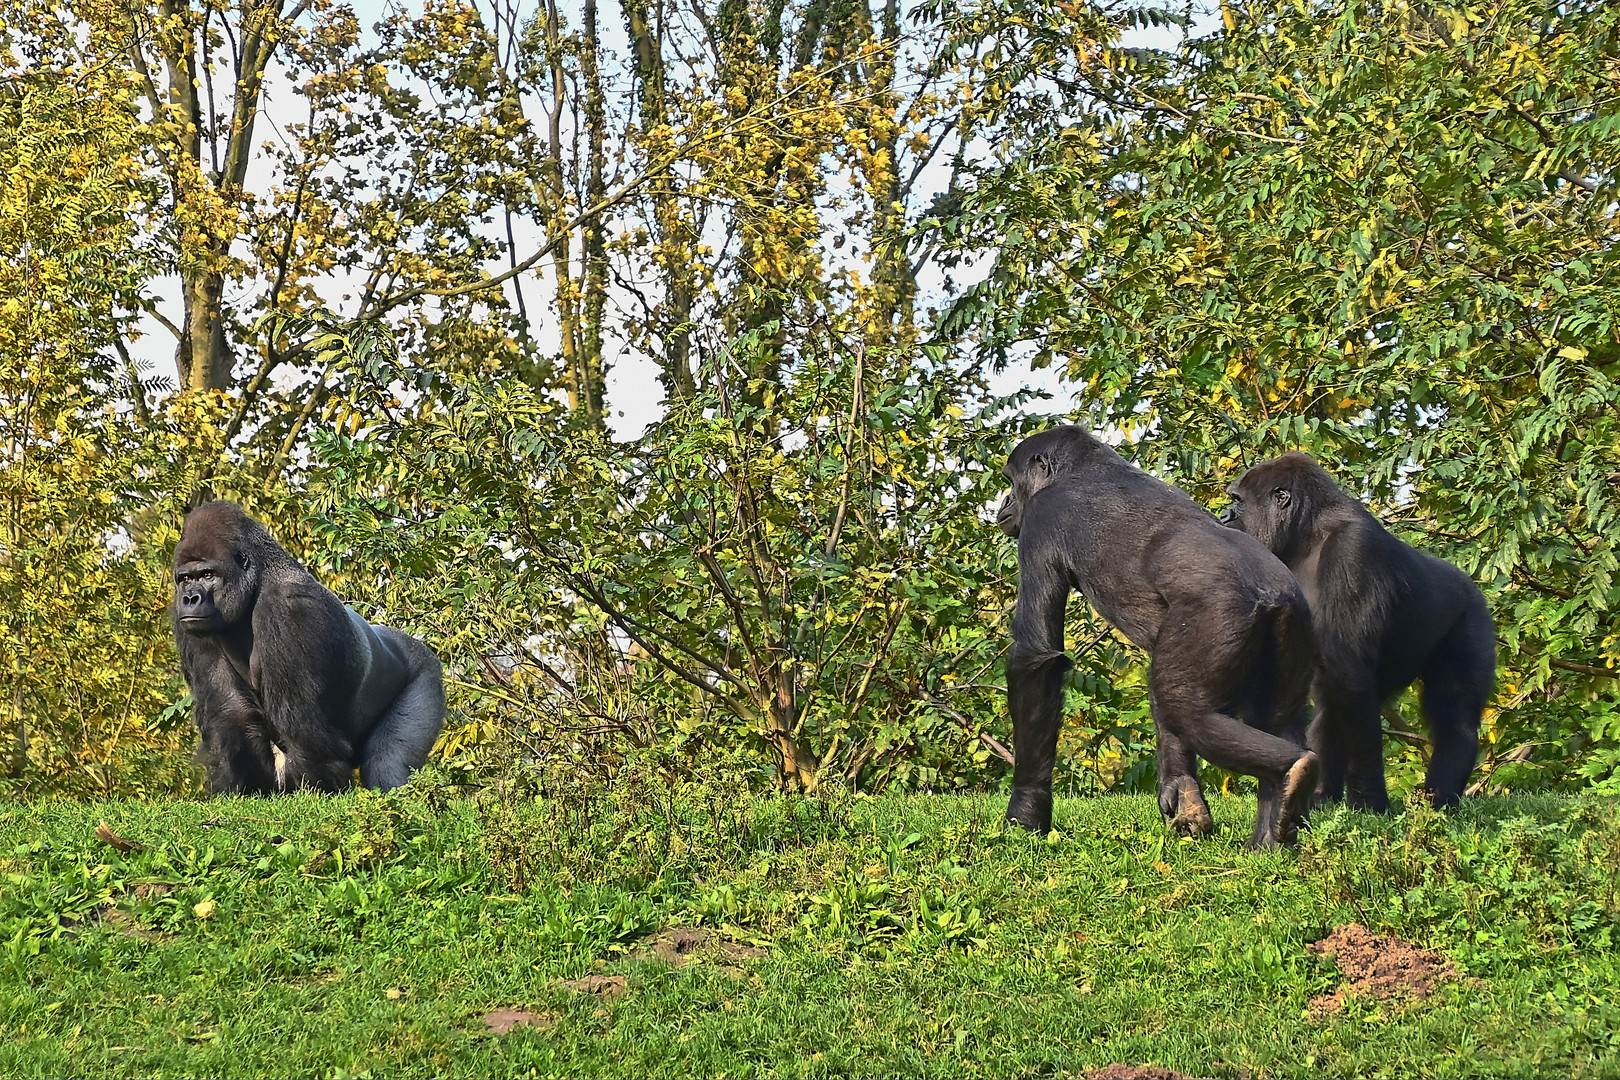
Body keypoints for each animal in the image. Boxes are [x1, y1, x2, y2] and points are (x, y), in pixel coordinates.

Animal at [171, 501, 447, 799]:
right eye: (185, 578)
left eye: (207, 574)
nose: (189, 598)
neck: (257, 583)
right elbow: (233, 715)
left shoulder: (290, 609)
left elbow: (303, 730)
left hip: (425, 670)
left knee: (387, 764)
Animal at [991, 427, 1321, 848]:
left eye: (1010, 481)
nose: (1005, 501)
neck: (1080, 467)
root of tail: (1275, 593)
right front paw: (1183, 791)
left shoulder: (1040, 521)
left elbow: (1036, 658)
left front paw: (1026, 810)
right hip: (1294, 627)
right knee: (1277, 716)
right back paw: (1271, 833)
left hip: (1220, 616)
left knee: (1187, 709)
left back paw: (1293, 771)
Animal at [1224, 453, 1490, 816]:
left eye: (1238, 501)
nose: (1224, 517)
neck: (1307, 532)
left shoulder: (1353, 550)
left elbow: (1346, 675)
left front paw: (1368, 798)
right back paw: (1324, 793)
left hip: (1471, 614)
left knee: (1455, 713)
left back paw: (1441, 796)